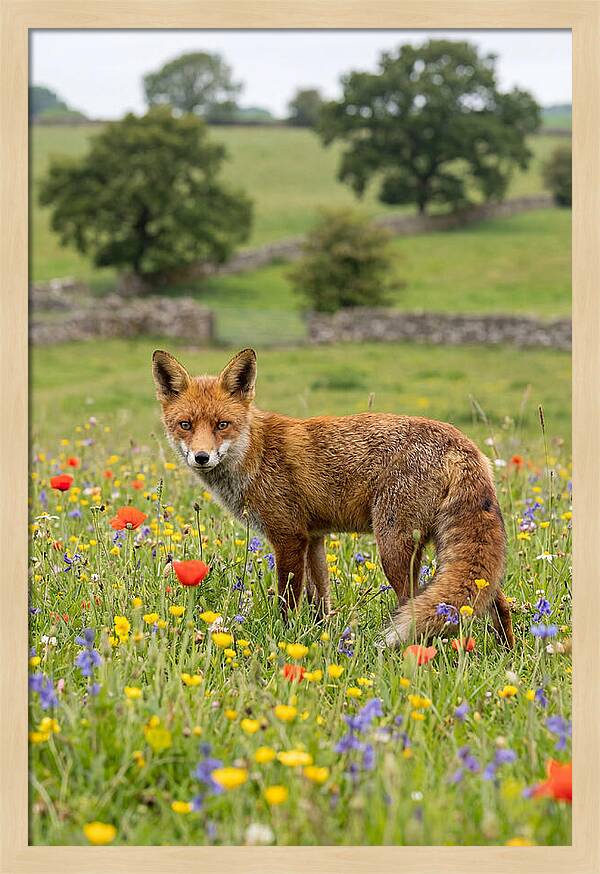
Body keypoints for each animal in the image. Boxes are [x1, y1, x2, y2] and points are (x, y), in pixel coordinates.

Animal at [152, 347, 514, 649]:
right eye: (185, 425)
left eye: (222, 424)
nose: (201, 457)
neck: (255, 453)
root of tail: (461, 442)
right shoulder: (314, 538)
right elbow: (320, 601)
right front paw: (321, 637)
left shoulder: (288, 537)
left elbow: (288, 600)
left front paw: (285, 638)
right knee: (497, 601)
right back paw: (507, 652)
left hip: (394, 547)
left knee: (413, 604)